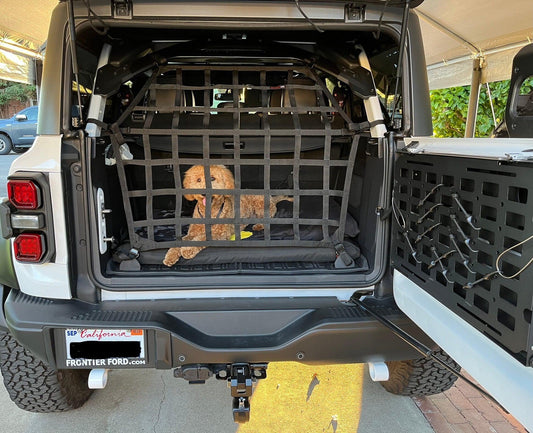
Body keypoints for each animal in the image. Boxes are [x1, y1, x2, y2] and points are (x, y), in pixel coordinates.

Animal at [164, 164, 294, 264]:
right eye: (198, 180)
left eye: (212, 178)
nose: (203, 193)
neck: (210, 211)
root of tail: (271, 198)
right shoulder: (192, 232)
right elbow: (181, 241)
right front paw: (170, 256)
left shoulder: (220, 233)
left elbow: (201, 238)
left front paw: (187, 250)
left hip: (260, 205)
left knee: (268, 217)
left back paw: (258, 225)